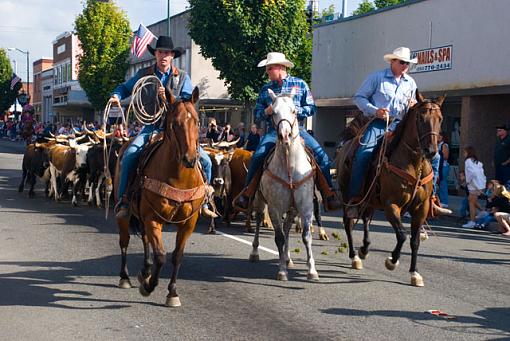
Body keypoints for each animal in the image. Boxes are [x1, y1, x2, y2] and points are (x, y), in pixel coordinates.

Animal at [114, 87, 205, 306]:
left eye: (197, 122)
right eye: (175, 123)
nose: (190, 159)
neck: (179, 178)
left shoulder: (188, 223)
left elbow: (177, 256)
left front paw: (172, 292)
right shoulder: (153, 218)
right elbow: (161, 255)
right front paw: (148, 287)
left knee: (145, 239)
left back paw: (145, 271)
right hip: (126, 215)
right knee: (125, 241)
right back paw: (125, 277)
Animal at [250, 88, 318, 282]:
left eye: (294, 111)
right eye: (273, 112)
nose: (285, 135)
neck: (290, 167)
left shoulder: (305, 205)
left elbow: (306, 236)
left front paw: (312, 270)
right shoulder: (274, 207)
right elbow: (279, 238)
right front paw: (281, 271)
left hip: (292, 208)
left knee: (287, 228)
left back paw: (288, 258)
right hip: (260, 201)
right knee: (259, 220)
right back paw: (255, 252)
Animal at [338, 89, 442, 286]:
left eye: (440, 118)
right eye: (420, 117)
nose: (431, 151)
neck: (413, 164)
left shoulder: (421, 207)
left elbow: (415, 241)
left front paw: (414, 273)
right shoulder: (390, 205)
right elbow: (402, 234)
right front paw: (392, 261)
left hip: (370, 201)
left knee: (366, 220)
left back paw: (364, 248)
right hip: (349, 197)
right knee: (349, 223)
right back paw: (355, 256)